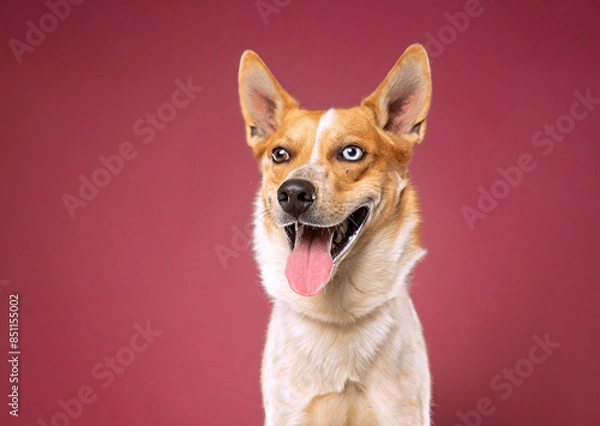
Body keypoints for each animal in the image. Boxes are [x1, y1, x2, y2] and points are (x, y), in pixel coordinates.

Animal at [238, 44, 432, 426]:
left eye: (351, 152)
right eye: (279, 154)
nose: (293, 193)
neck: (337, 314)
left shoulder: (400, 412)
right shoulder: (289, 412)